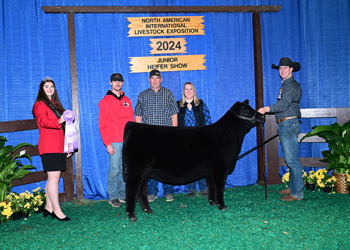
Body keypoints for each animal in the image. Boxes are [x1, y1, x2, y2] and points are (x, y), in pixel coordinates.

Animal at [121, 99, 264, 221]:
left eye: (251, 108)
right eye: (245, 110)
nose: (262, 116)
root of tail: (134, 125)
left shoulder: (210, 171)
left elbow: (211, 186)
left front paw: (212, 202)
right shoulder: (220, 168)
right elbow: (219, 187)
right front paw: (222, 206)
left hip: (145, 173)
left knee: (142, 191)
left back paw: (148, 210)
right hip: (136, 170)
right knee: (131, 190)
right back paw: (132, 216)